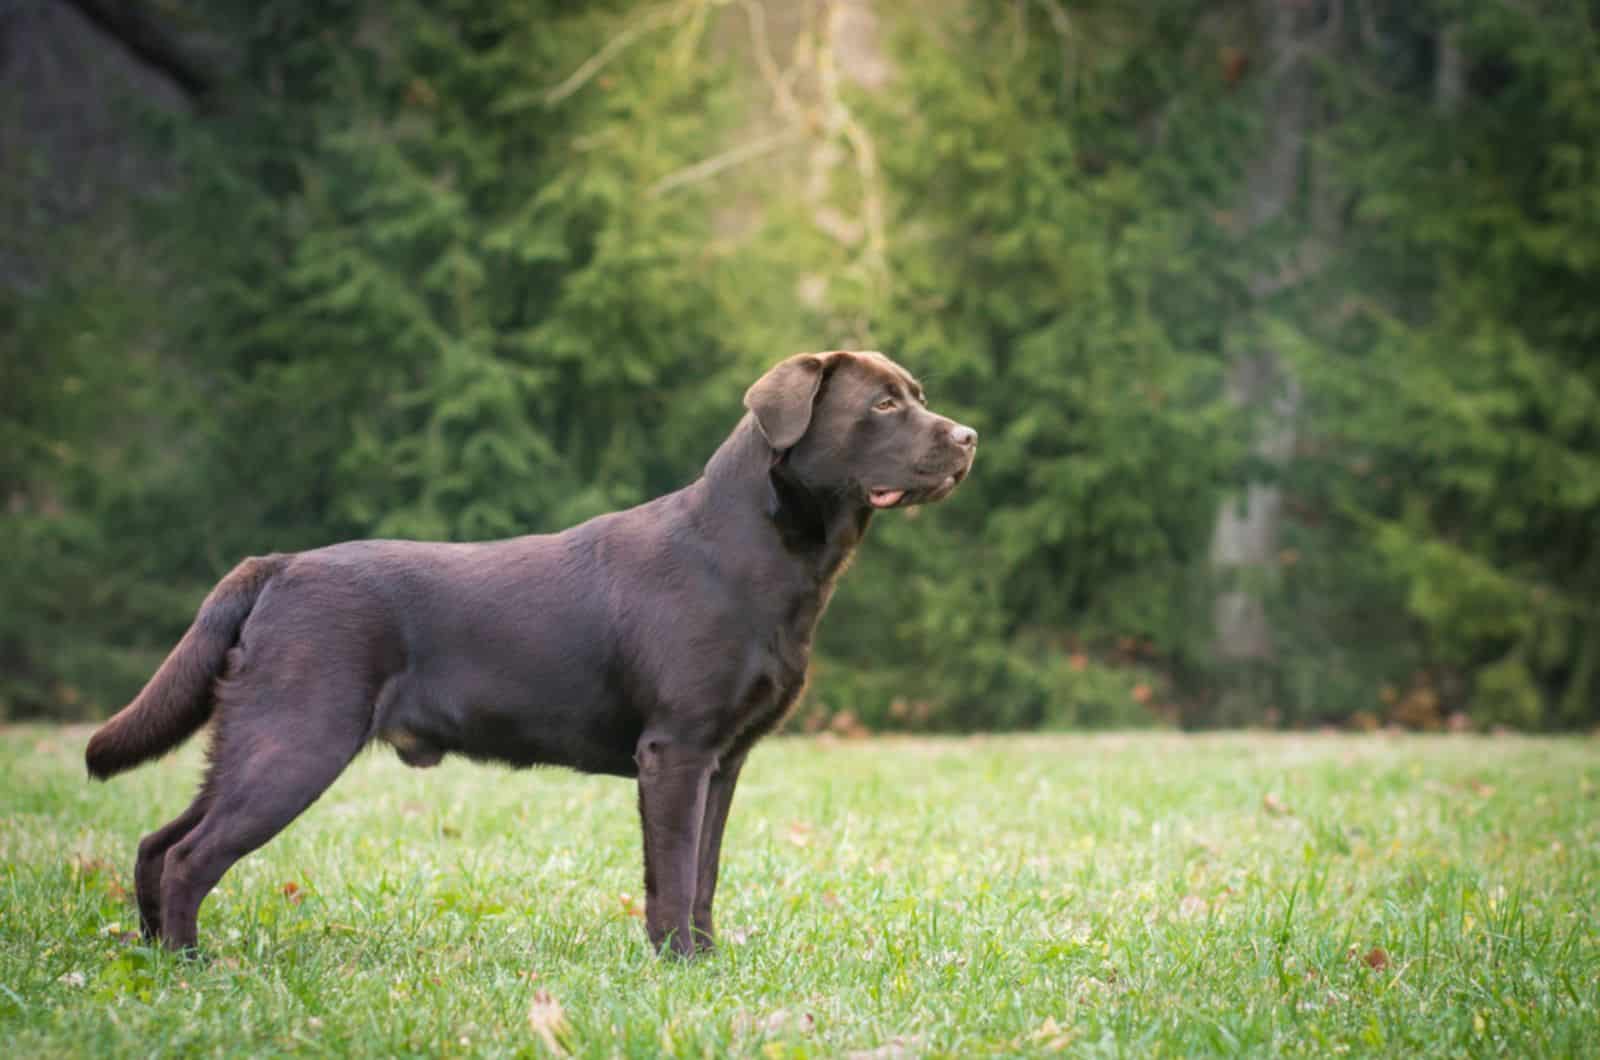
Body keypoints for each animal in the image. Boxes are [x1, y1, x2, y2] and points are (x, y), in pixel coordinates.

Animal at [93, 352, 979, 960]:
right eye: (884, 403)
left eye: (919, 396)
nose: (969, 437)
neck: (753, 550)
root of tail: (275, 566)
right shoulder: (675, 750)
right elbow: (674, 872)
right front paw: (679, 968)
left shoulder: (723, 760)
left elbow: (705, 873)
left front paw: (707, 959)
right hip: (297, 739)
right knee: (189, 856)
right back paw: (194, 965)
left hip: (257, 739)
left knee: (156, 843)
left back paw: (156, 959)